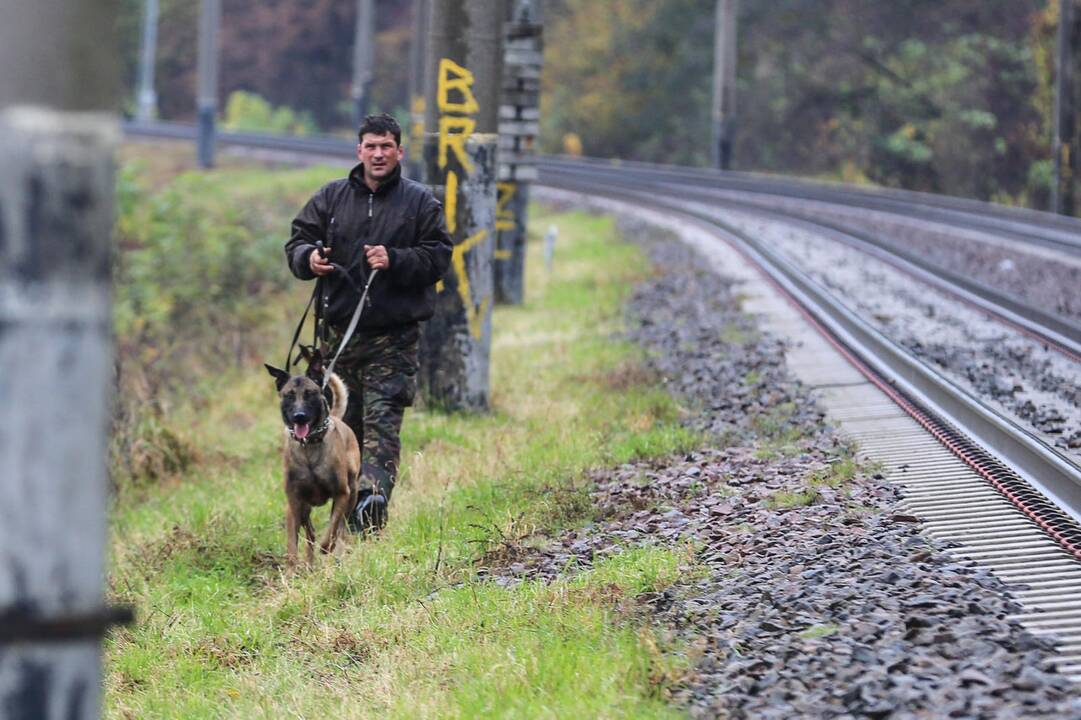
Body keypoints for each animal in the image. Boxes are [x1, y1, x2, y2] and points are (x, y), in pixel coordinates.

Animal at [264, 350, 358, 570]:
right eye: (289, 395)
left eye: (310, 393)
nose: (299, 416)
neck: (309, 445)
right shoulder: (294, 501)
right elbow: (293, 543)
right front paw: (291, 572)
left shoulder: (342, 493)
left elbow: (333, 527)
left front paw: (327, 547)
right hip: (299, 508)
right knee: (309, 533)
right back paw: (308, 564)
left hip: (353, 490)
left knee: (341, 528)